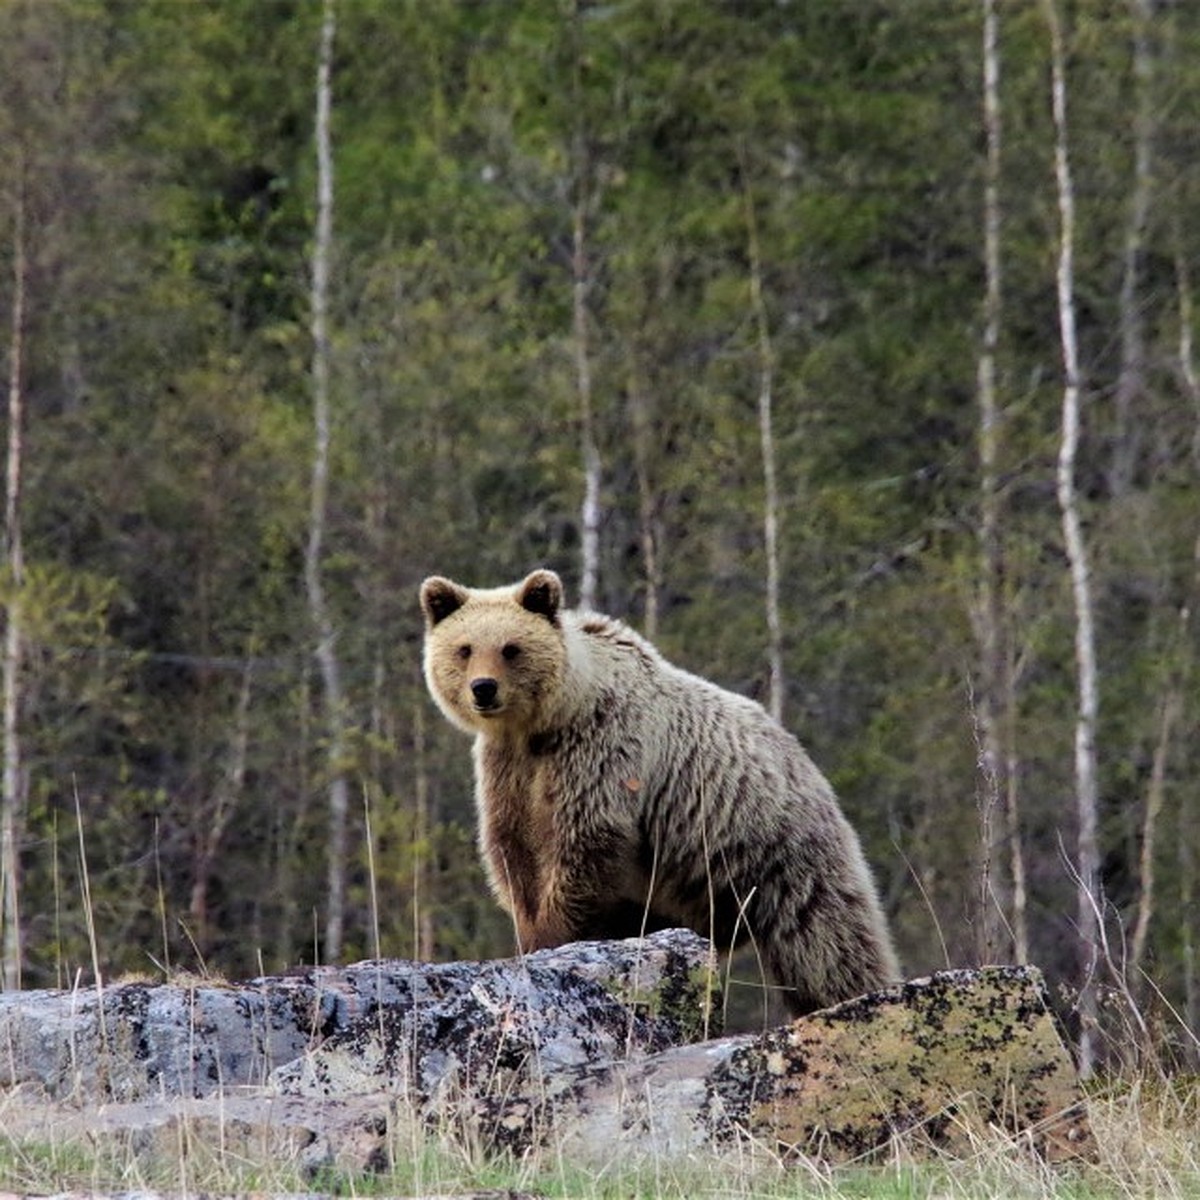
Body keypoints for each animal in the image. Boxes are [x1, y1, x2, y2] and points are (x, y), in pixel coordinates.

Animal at [417, 568, 897, 1012]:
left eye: (510, 648)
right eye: (465, 648)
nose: (483, 689)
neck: (544, 726)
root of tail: (804, 759)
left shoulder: (598, 753)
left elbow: (582, 843)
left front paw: (552, 934)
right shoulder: (509, 772)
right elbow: (513, 852)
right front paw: (530, 930)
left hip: (777, 855)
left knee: (826, 942)